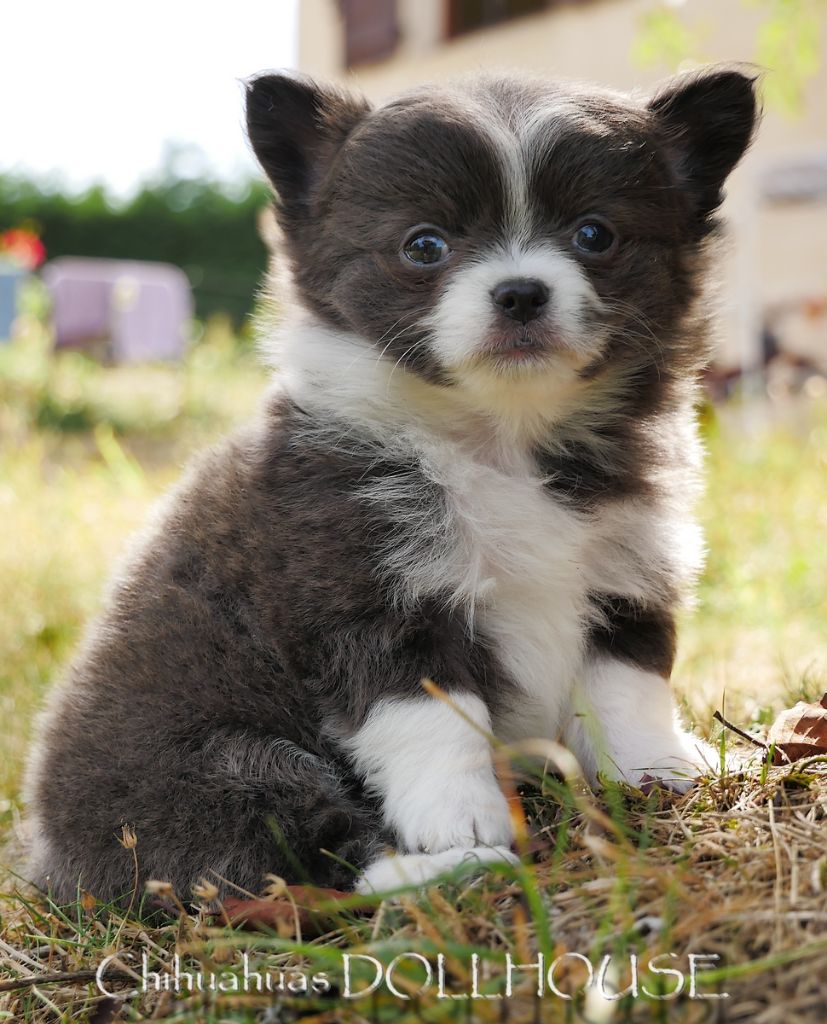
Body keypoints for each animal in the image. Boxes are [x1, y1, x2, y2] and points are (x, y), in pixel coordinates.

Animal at [24, 65, 758, 901]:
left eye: (594, 235)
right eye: (424, 245)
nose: (519, 292)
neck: (502, 439)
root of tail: (51, 855)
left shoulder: (625, 576)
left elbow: (627, 686)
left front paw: (652, 771)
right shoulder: (369, 605)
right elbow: (434, 721)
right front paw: (464, 820)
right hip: (219, 771)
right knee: (309, 862)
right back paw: (450, 867)